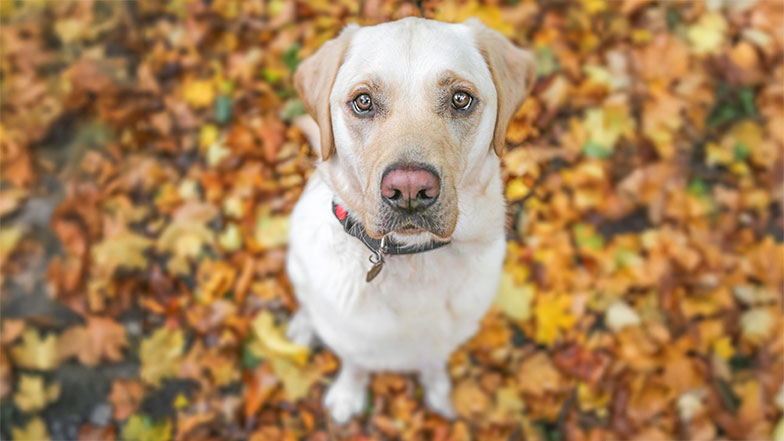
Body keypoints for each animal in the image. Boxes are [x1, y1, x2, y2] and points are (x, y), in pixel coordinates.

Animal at [284, 17, 536, 422]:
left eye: (461, 99)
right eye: (363, 102)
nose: (409, 189)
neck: (412, 259)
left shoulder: (444, 338)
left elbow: (432, 363)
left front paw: (439, 393)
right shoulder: (351, 337)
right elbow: (355, 364)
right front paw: (348, 395)